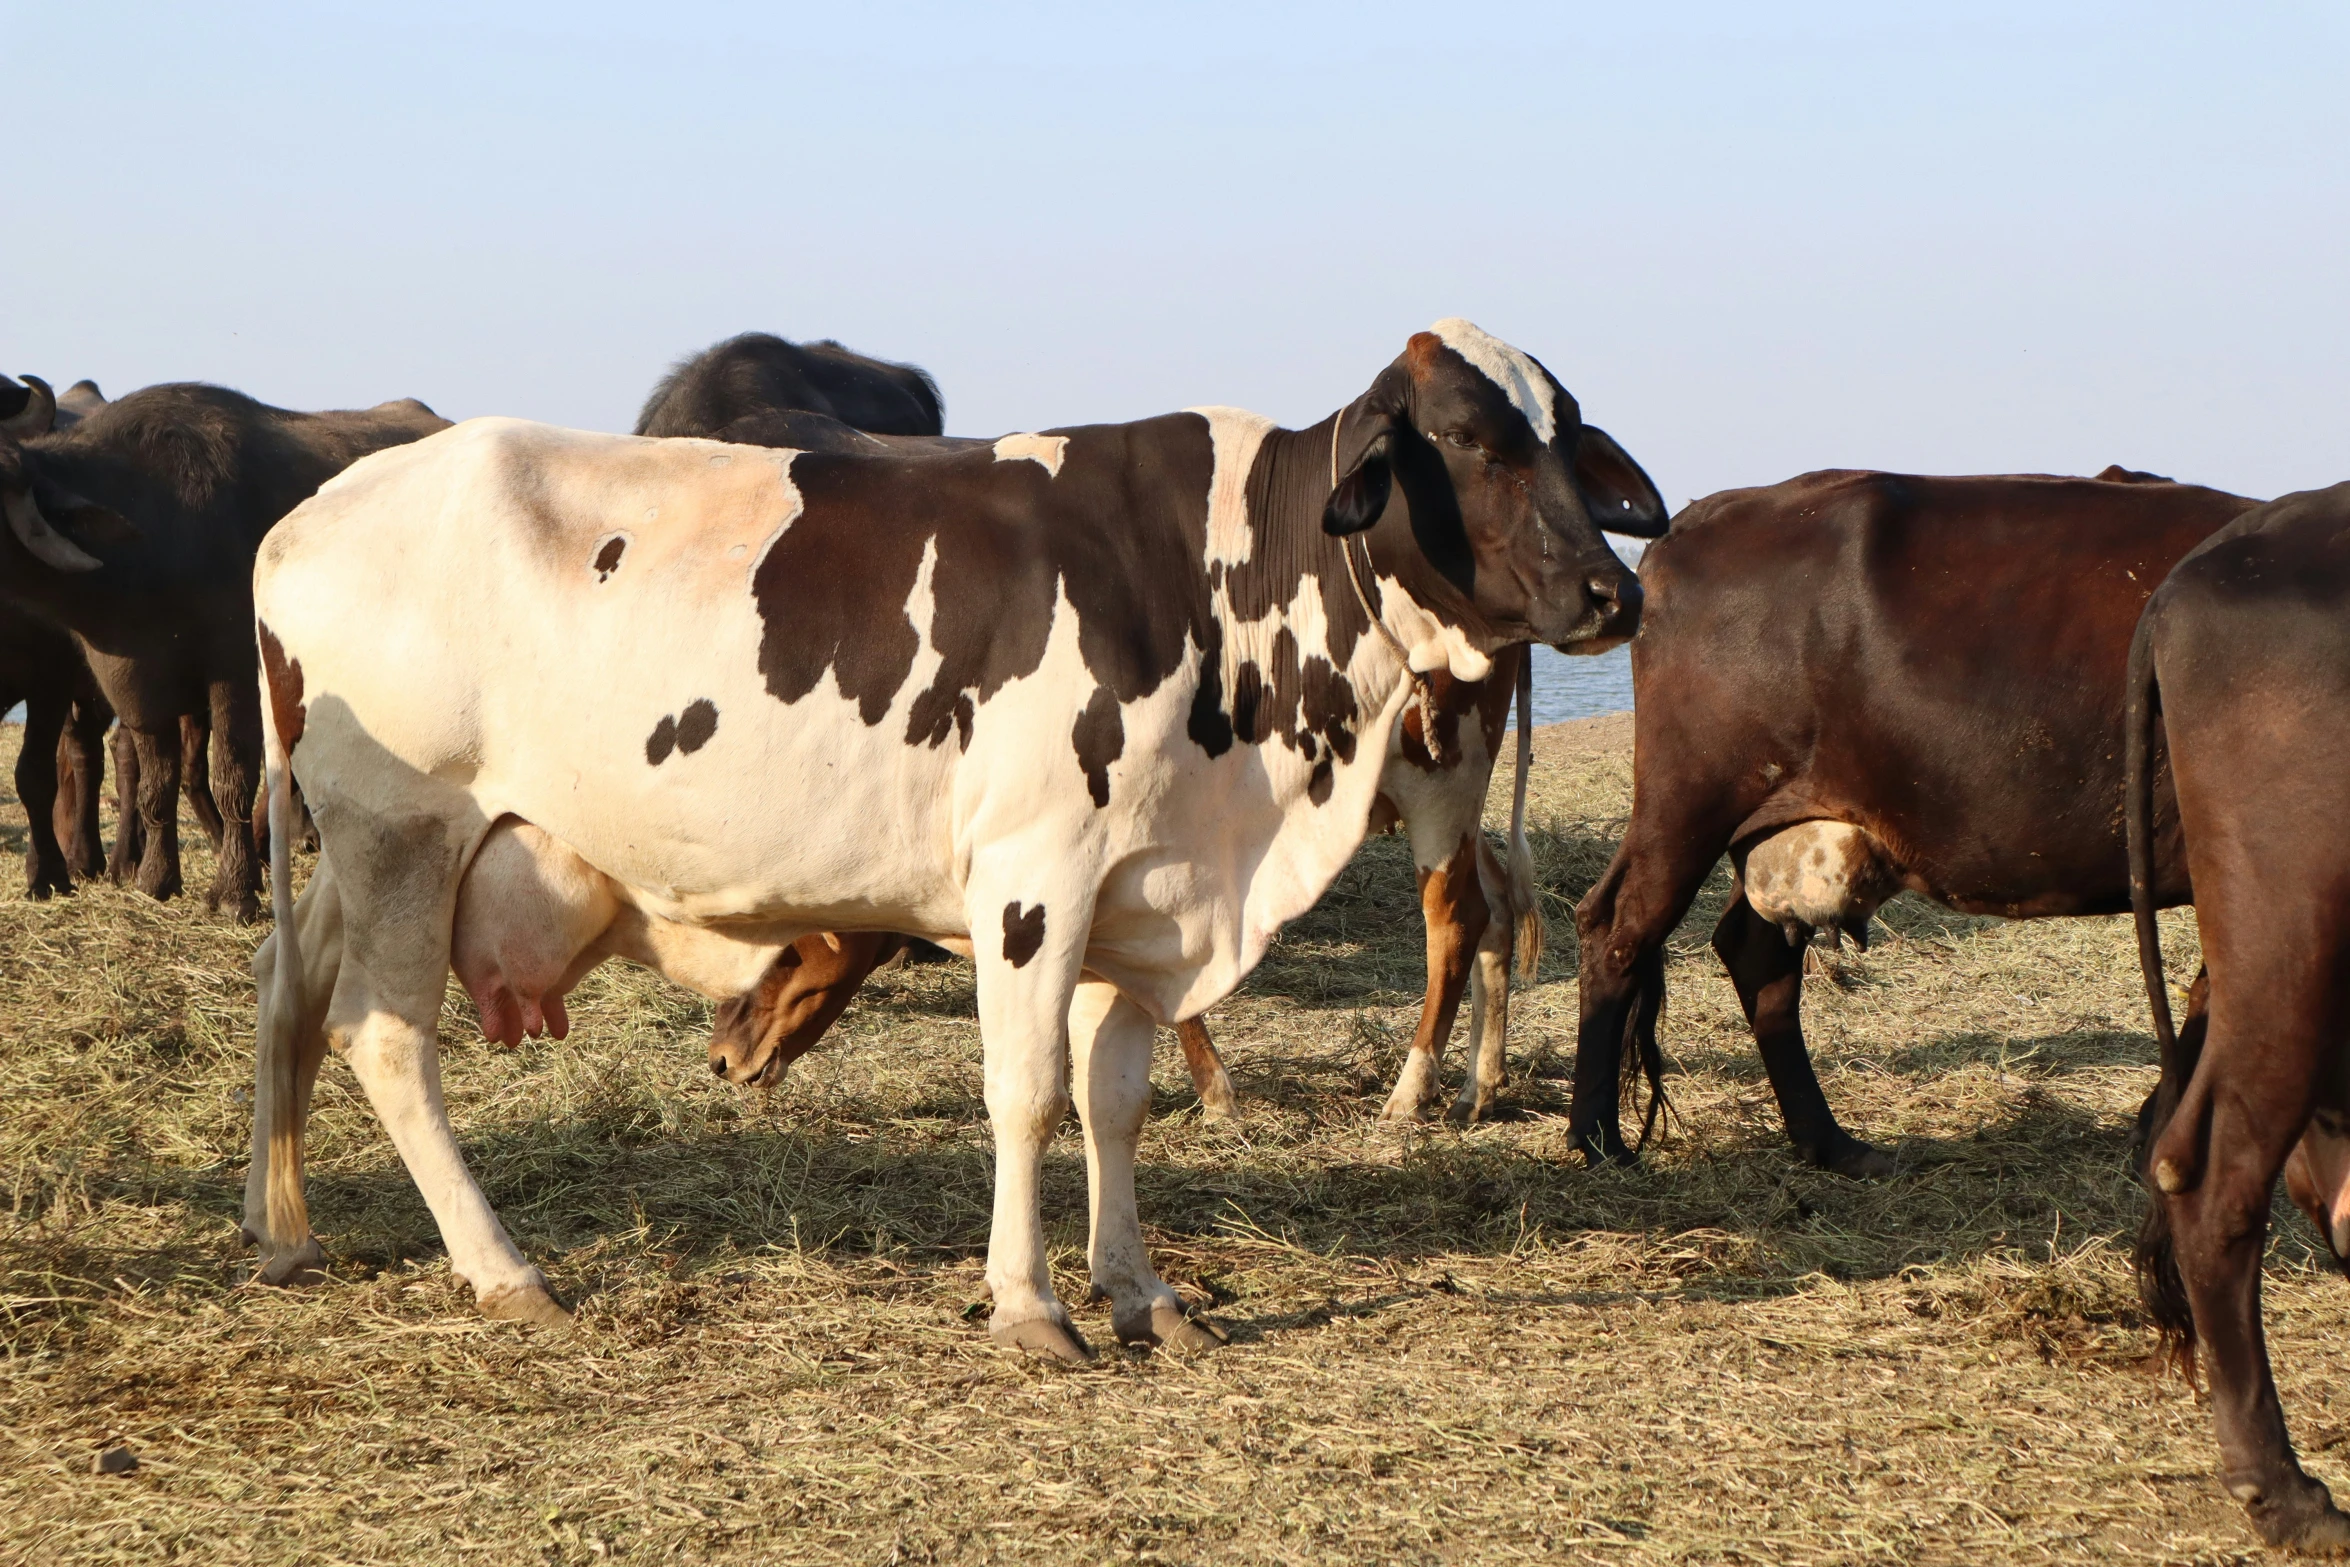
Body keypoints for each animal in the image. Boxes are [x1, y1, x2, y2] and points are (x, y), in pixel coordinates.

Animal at [243, 319, 1654, 1362]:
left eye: (1567, 437)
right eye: (1463, 438)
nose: (1613, 591)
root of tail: (299, 518)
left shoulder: (1141, 890)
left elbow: (1115, 1100)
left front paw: (1141, 1291)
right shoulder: (1035, 877)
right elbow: (1027, 1095)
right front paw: (1030, 1305)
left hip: (356, 856)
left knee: (286, 992)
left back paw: (283, 1230)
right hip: (403, 835)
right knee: (384, 1038)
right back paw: (504, 1268)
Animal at [1579, 469, 2256, 1174]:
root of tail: (1698, 518)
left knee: (1754, 953)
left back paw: (1831, 1143)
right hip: (1691, 798)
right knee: (1618, 928)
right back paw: (1598, 1139)